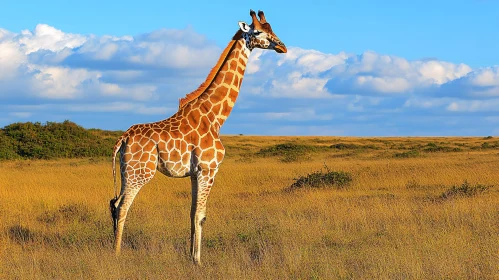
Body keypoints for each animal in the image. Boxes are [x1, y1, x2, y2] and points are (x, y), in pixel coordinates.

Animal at [111, 9, 288, 264]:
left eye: (272, 28)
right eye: (258, 32)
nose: (282, 47)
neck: (215, 117)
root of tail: (122, 139)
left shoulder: (195, 173)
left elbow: (192, 212)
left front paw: (190, 256)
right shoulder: (209, 169)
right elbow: (201, 215)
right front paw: (198, 261)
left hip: (128, 172)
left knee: (114, 203)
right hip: (139, 173)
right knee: (122, 206)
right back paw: (115, 254)